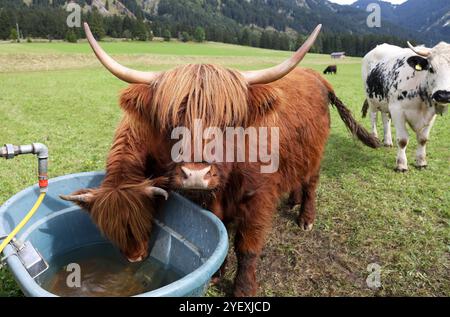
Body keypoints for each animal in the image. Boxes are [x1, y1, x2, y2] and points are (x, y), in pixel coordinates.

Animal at [362, 42, 450, 172]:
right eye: (431, 68)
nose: (444, 95)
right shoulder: (397, 110)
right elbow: (403, 140)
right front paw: (401, 165)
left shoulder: (431, 114)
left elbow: (423, 139)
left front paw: (421, 162)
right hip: (372, 100)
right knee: (373, 117)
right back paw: (374, 137)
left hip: (385, 102)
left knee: (385, 118)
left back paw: (388, 141)